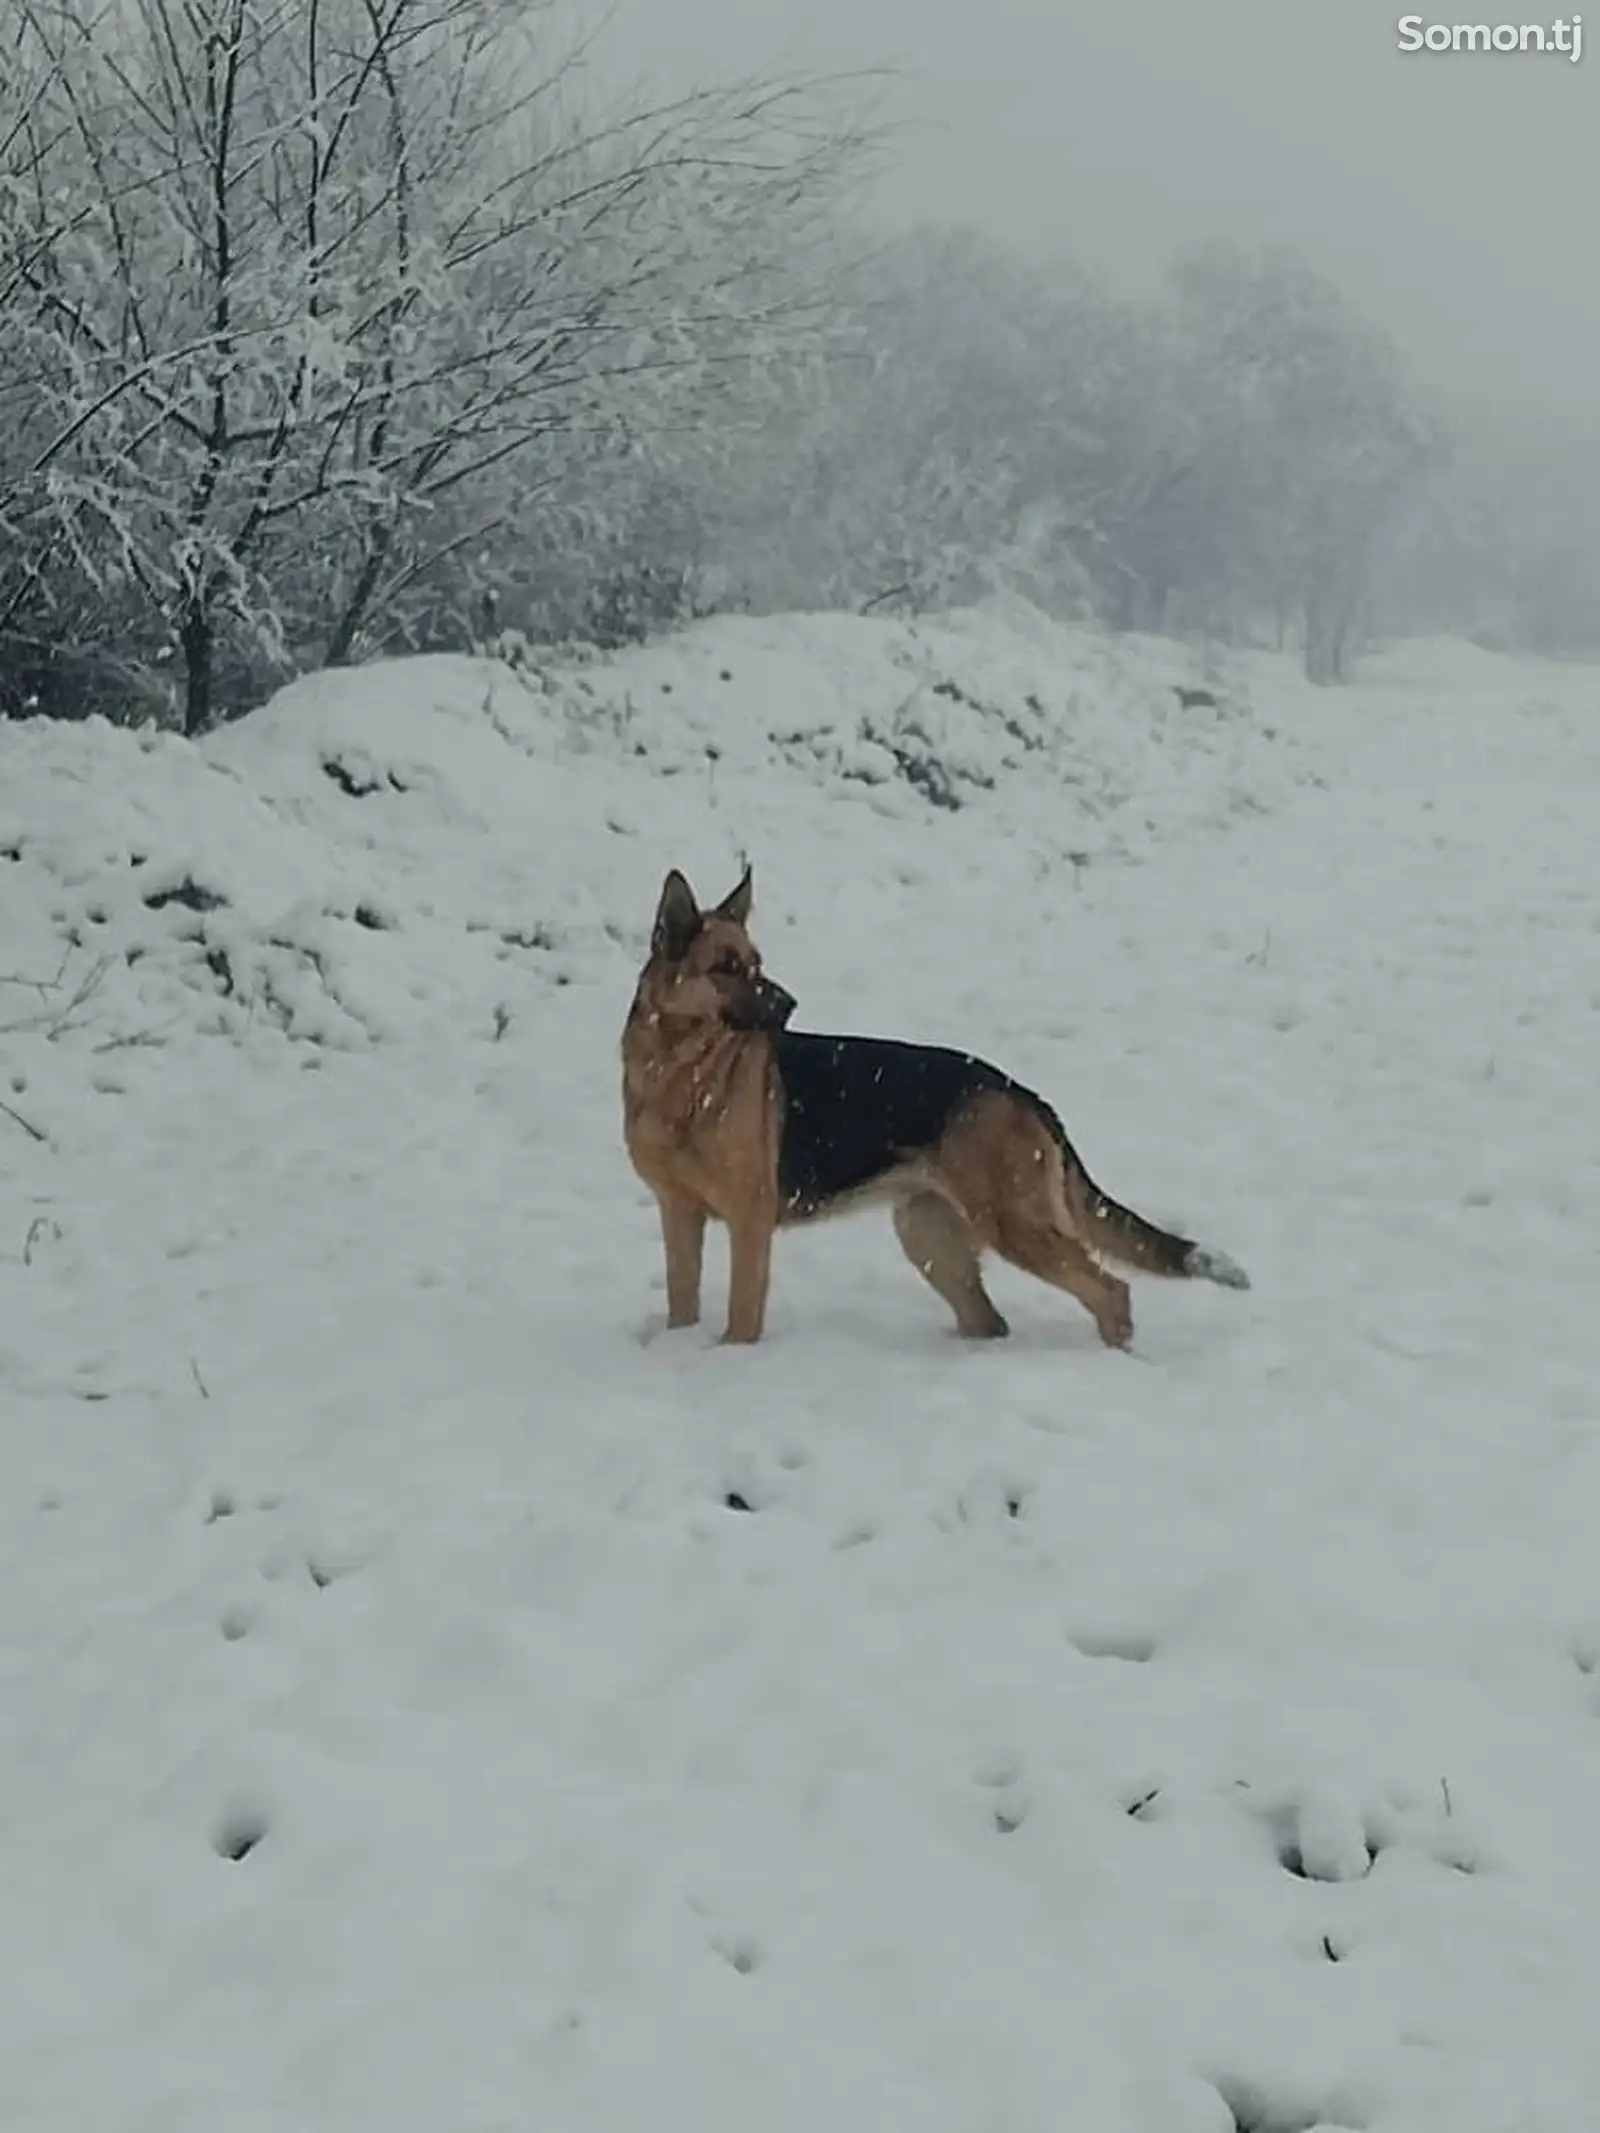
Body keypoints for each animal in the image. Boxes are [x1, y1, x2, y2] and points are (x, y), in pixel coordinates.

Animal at [618, 865, 1262, 1348]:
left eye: (755, 964)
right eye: (725, 968)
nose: (790, 1005)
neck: (680, 1075)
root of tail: (1025, 1094)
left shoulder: (749, 1224)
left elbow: (741, 1315)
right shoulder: (678, 1214)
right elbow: (682, 1300)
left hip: (1013, 1226)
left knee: (1110, 1290)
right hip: (930, 1240)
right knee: (992, 1321)